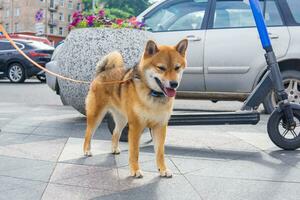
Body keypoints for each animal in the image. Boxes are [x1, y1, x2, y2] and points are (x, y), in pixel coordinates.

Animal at [83, 39, 188, 178]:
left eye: (177, 67)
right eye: (161, 68)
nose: (174, 84)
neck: (153, 94)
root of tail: (102, 73)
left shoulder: (160, 126)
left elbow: (160, 152)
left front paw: (163, 170)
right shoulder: (136, 127)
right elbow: (134, 152)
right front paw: (135, 170)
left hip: (122, 120)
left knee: (115, 133)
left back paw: (114, 149)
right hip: (96, 116)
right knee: (88, 133)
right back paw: (86, 150)